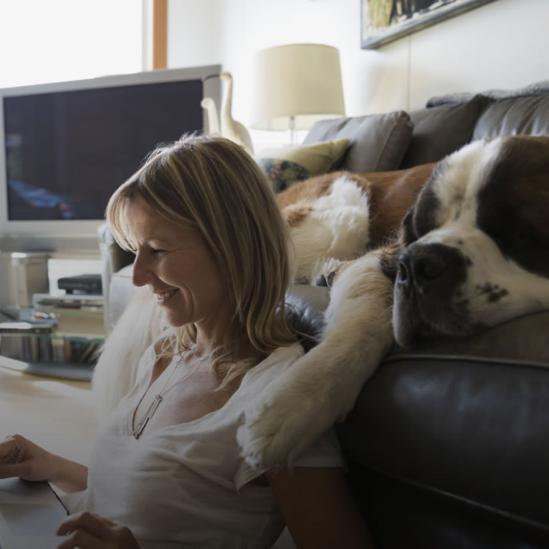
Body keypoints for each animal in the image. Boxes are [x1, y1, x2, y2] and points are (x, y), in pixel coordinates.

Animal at [237, 135, 549, 468]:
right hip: (344, 212)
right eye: (420, 231)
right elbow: (364, 325)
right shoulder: (378, 258)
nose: (417, 264)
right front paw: (291, 407)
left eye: (518, 232)